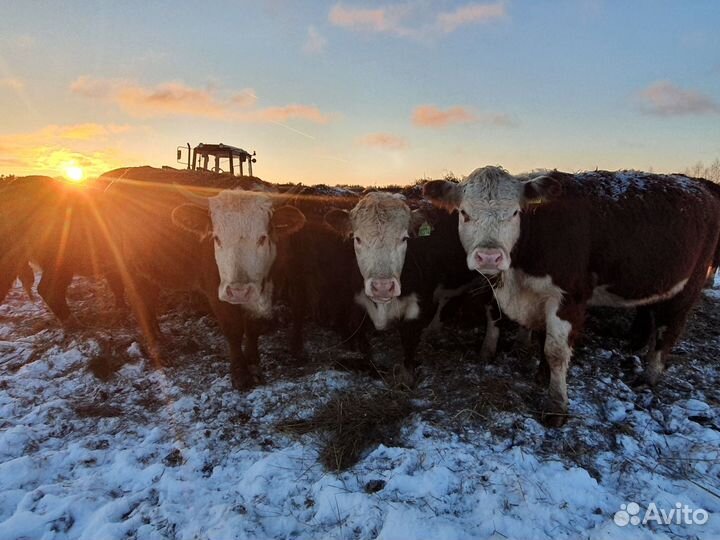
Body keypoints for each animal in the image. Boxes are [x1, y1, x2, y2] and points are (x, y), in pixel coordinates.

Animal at [424, 167, 720, 428]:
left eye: (515, 212)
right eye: (464, 213)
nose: (489, 257)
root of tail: (699, 187)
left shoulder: (568, 298)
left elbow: (556, 351)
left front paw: (556, 406)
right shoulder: (536, 296)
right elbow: (539, 338)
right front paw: (541, 374)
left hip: (689, 285)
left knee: (668, 329)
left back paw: (650, 375)